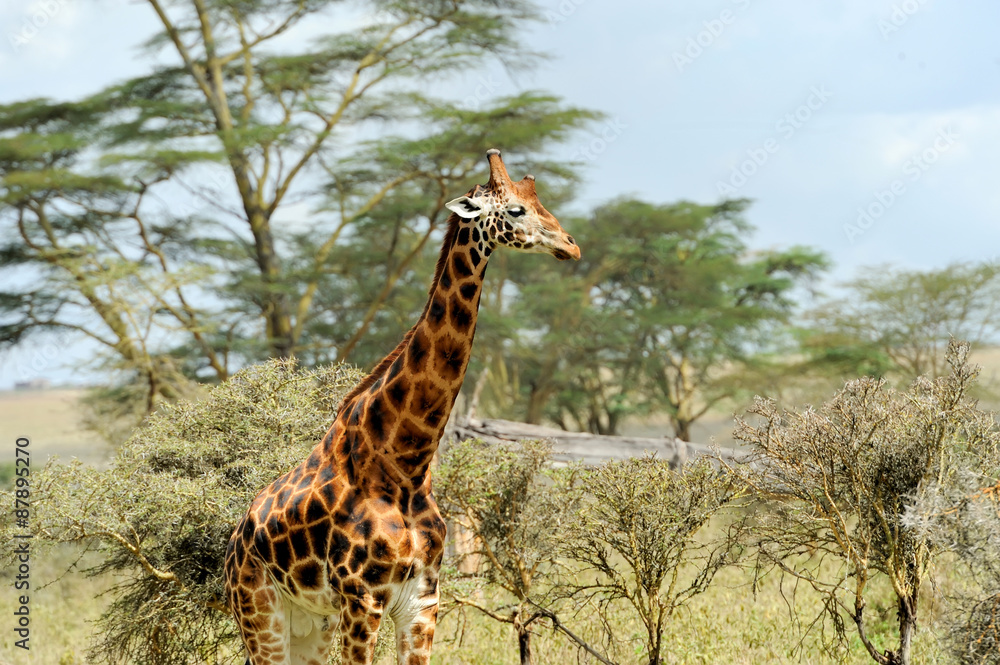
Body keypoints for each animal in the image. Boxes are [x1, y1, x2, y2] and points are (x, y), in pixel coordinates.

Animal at [224, 149, 581, 665]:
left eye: (541, 202)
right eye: (516, 210)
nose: (572, 246)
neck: (407, 465)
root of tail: (235, 539)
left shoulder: (423, 600)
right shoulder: (362, 599)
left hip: (311, 623)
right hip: (259, 612)